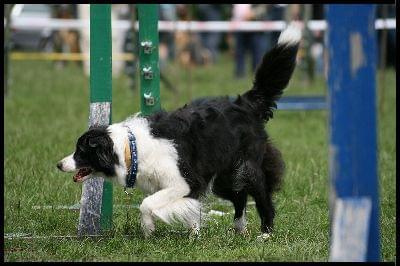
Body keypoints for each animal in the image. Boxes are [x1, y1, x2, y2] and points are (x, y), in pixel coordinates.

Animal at [56, 23, 300, 238]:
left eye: (81, 151)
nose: (59, 164)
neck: (130, 149)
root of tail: (245, 103)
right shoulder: (184, 182)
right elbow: (187, 209)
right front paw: (194, 235)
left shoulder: (184, 180)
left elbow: (146, 204)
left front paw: (148, 229)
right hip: (223, 175)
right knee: (239, 197)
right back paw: (239, 229)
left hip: (247, 166)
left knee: (262, 196)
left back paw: (265, 233)